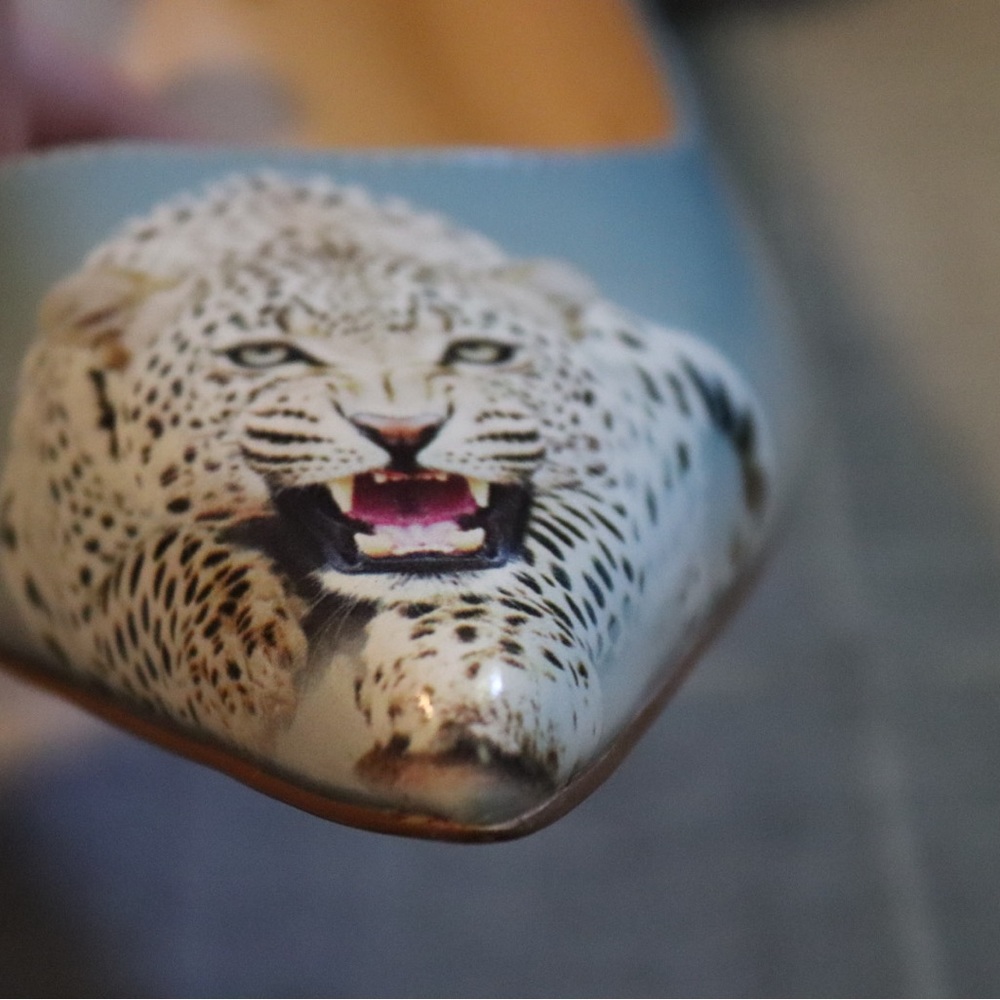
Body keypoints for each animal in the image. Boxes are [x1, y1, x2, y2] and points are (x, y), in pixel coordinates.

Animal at [0, 173, 772, 824]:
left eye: (479, 352)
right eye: (264, 356)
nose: (403, 430)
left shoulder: (638, 445)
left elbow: (548, 548)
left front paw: (465, 672)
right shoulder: (59, 556)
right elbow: (141, 570)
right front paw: (239, 652)